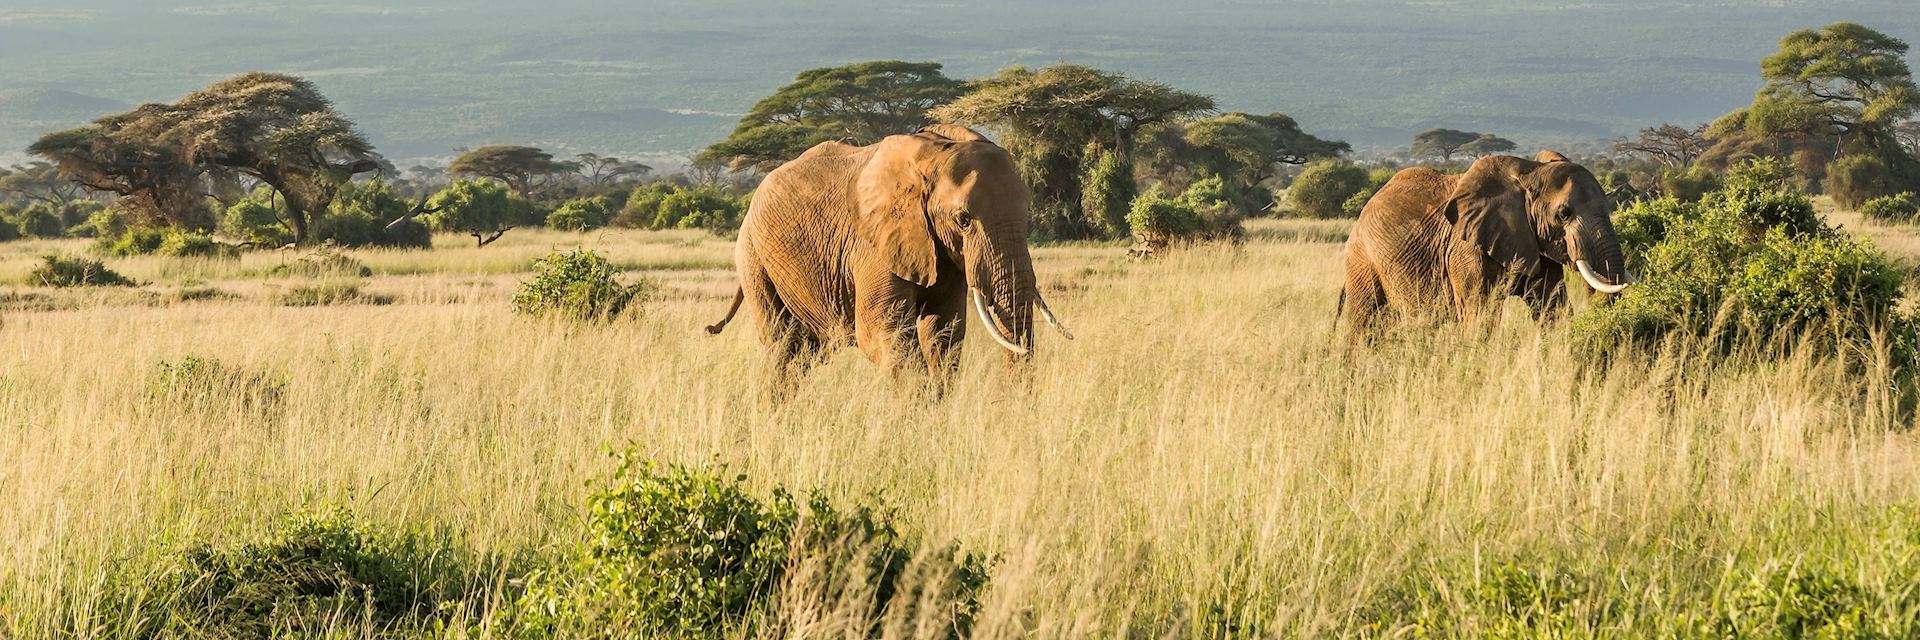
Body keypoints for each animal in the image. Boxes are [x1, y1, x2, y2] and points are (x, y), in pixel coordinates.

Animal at [706, 124, 1075, 384]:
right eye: (963, 220)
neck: (937, 151)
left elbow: (943, 333)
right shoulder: (873, 244)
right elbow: (883, 334)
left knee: (807, 354)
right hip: (754, 258)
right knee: (783, 348)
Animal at [1336, 146, 1635, 330]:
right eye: (1563, 214)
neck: (1531, 171)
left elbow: (1553, 309)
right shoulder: (1466, 249)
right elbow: (1480, 315)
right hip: (1362, 259)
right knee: (1364, 323)